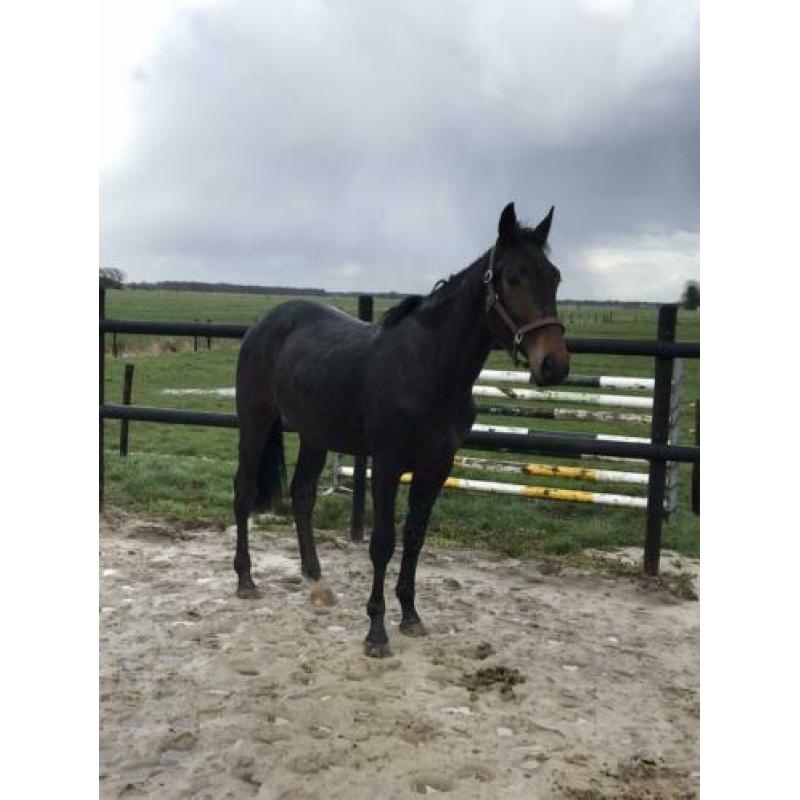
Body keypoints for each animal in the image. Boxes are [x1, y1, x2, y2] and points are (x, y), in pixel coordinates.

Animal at [233, 202, 570, 657]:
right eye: (512, 277)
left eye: (554, 276)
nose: (554, 364)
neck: (428, 369)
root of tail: (262, 324)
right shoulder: (388, 465)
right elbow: (383, 543)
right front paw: (376, 631)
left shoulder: (436, 467)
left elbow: (414, 538)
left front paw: (410, 615)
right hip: (254, 422)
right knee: (243, 492)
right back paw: (245, 579)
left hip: (314, 434)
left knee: (302, 494)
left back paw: (314, 575)